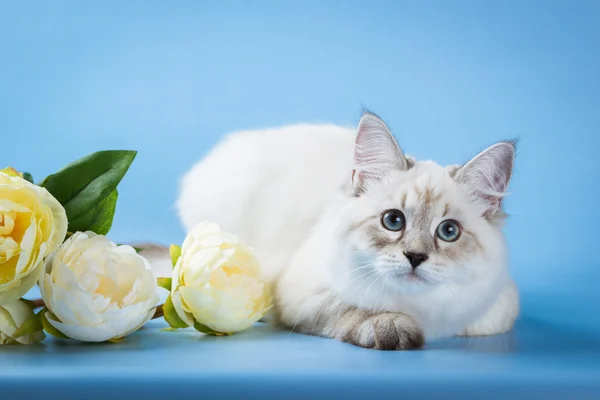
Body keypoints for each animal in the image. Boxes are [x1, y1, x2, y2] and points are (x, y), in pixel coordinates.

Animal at [175, 112, 520, 350]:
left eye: (448, 231)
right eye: (393, 221)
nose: (415, 257)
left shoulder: (496, 309)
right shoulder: (299, 296)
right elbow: (354, 308)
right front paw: (393, 330)